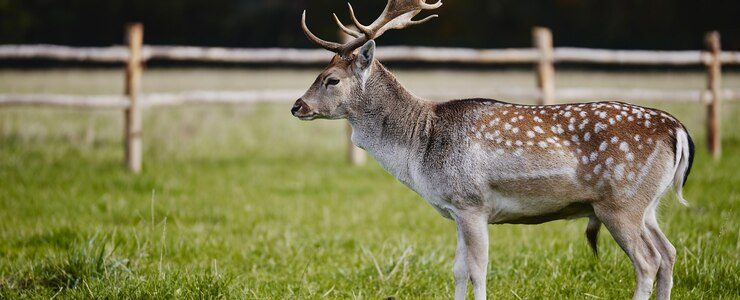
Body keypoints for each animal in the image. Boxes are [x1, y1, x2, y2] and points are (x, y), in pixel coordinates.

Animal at [290, 1, 692, 298]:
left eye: (331, 79)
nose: (297, 106)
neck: (419, 145)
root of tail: (678, 130)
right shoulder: (454, 209)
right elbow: (457, 270)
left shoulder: (472, 202)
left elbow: (478, 271)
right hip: (647, 204)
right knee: (669, 253)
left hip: (620, 202)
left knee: (647, 261)